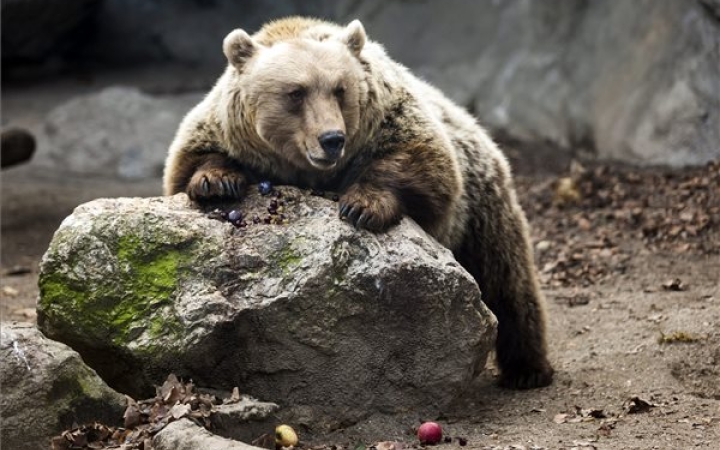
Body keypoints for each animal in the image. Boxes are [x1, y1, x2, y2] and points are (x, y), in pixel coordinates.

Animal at [165, 16, 556, 390]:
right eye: (296, 92)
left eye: (339, 89)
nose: (332, 139)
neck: (307, 171)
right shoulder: (226, 129)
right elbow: (193, 160)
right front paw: (216, 183)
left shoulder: (390, 120)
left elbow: (423, 164)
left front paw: (362, 206)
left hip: (480, 204)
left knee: (506, 277)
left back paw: (527, 369)